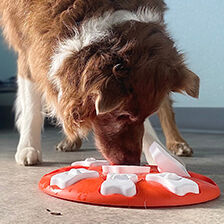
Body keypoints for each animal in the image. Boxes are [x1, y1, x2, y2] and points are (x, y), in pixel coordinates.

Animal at [0, 0, 200, 166]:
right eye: (122, 115)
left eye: (144, 115)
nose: (132, 163)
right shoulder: (29, 48)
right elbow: (32, 108)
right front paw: (28, 147)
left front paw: (159, 154)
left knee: (166, 106)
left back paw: (177, 143)